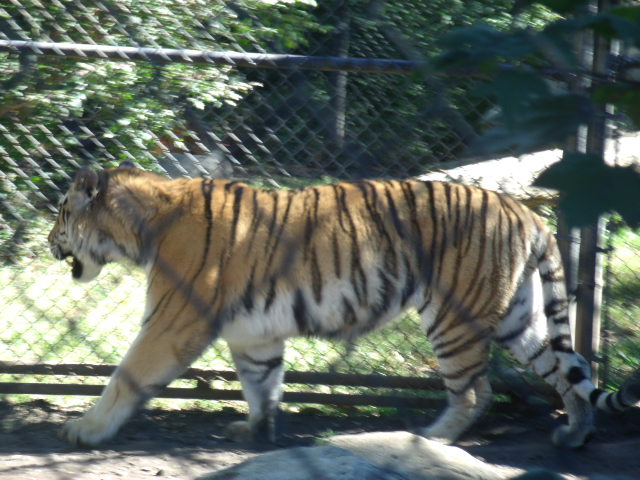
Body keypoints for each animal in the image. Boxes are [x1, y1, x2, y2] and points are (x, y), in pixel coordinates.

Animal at [48, 162, 640, 448]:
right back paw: (575, 434)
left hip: (454, 315)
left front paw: (86, 430)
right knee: (570, 369)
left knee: (476, 392)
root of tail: (526, 211)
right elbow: (261, 384)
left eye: (62, 212)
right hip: (521, 320)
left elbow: (126, 375)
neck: (141, 231)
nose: (50, 242)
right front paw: (256, 431)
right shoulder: (254, 333)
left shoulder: (172, 322)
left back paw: (430, 440)